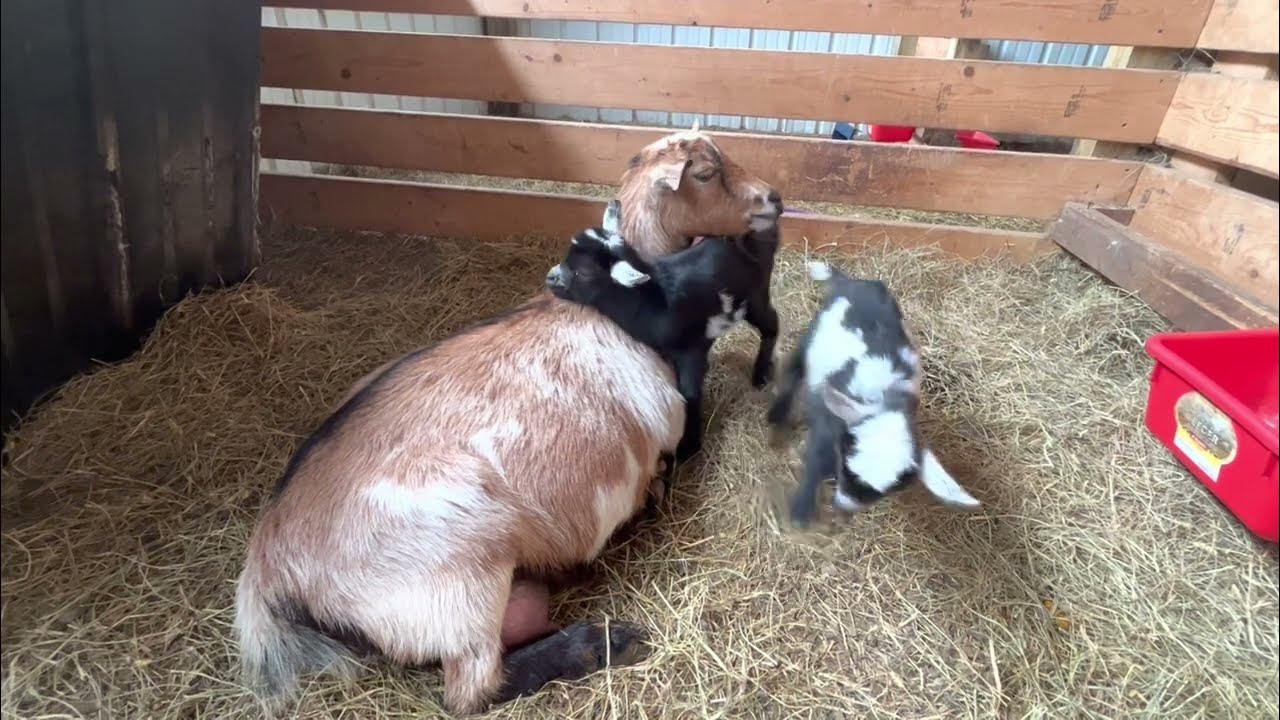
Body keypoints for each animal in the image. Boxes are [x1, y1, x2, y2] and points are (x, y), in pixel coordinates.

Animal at [546, 200, 779, 460]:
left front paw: (689, 448)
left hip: (756, 295)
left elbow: (689, 393)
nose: (551, 278)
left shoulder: (691, 350)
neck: (654, 300)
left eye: (583, 272)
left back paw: (761, 374)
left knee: (772, 323)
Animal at [767, 262, 980, 525]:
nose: (842, 506)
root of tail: (855, 283)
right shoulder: (829, 422)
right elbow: (817, 458)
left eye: (882, 492)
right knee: (795, 367)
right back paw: (778, 413)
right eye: (849, 470)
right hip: (813, 335)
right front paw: (801, 511)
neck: (882, 397)